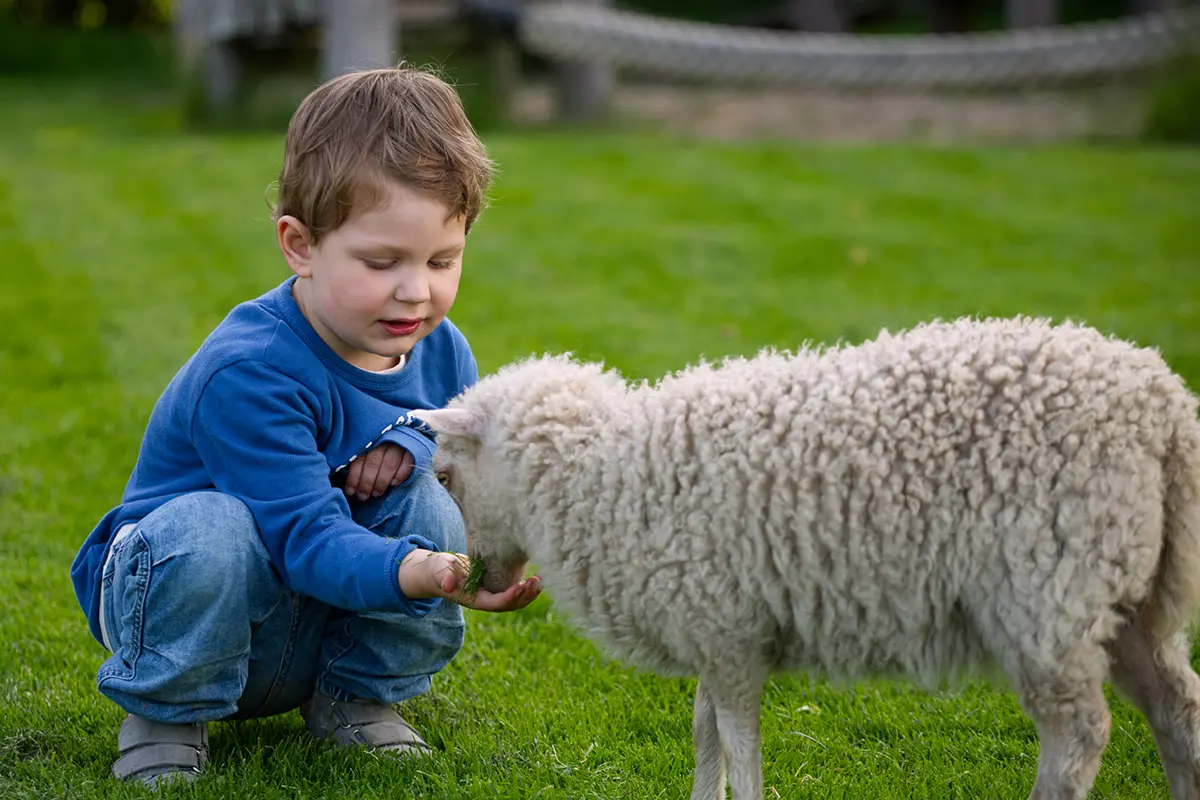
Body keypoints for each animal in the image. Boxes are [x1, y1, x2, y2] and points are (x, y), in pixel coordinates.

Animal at [416, 317, 1200, 800]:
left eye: (446, 476)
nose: (470, 575)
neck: (604, 474)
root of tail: (1164, 410)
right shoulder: (716, 632)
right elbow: (706, 737)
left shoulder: (728, 635)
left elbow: (740, 747)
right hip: (1128, 597)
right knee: (1177, 708)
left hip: (1049, 593)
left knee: (1080, 734)